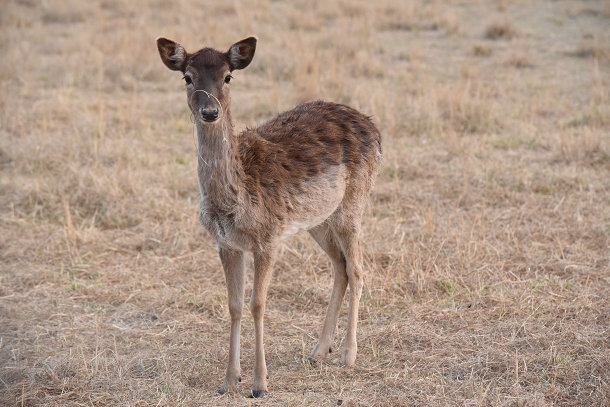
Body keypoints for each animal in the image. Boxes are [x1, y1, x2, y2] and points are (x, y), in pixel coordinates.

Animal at [154, 35, 378, 398]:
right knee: (340, 267)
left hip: (353, 204)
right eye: (187, 77)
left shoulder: (269, 238)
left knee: (357, 269)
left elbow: (258, 303)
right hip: (318, 220)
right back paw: (318, 351)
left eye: (228, 76)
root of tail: (373, 125)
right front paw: (229, 381)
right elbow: (234, 305)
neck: (234, 199)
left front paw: (260, 383)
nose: (210, 112)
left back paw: (348, 356)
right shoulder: (226, 243)